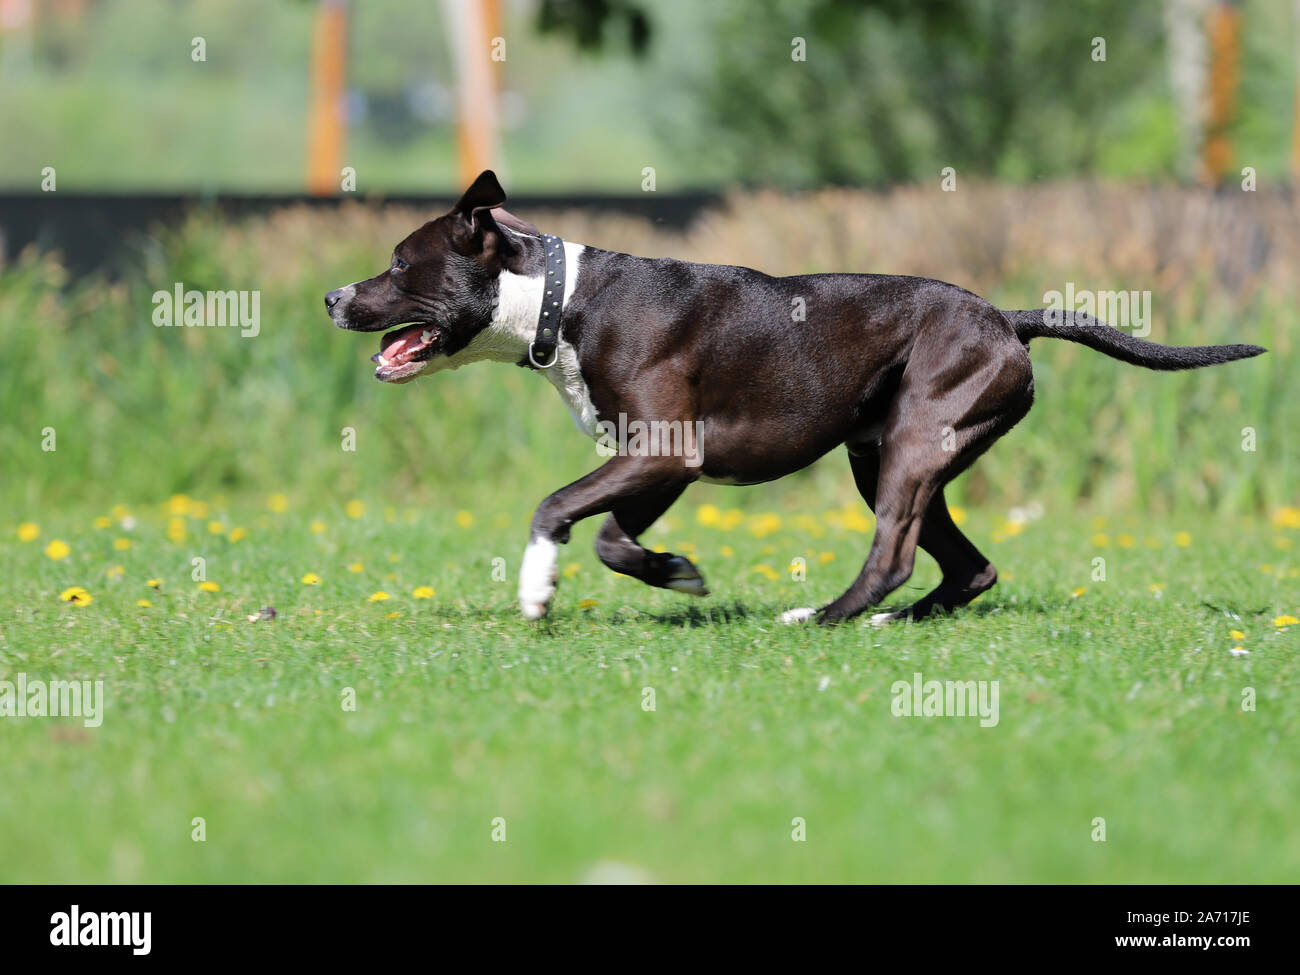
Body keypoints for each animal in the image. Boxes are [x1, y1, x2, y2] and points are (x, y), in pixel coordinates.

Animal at [322, 170, 1258, 626]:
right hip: (883, 454)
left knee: (895, 555)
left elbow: (555, 507)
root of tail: (1006, 318)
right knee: (968, 565)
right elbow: (617, 539)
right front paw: (676, 571)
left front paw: (536, 591)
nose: (333, 296)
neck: (561, 296)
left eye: (399, 264)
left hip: (913, 444)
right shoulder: (658, 463)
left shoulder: (663, 452)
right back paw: (893, 622)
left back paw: (824, 616)